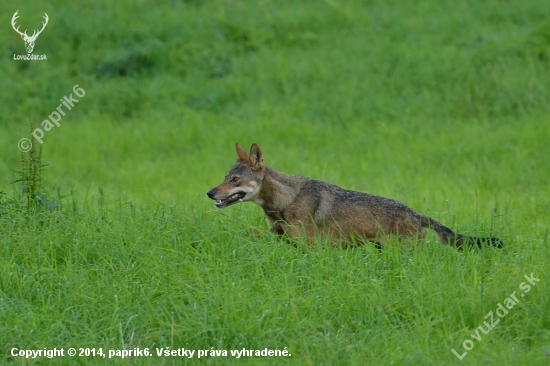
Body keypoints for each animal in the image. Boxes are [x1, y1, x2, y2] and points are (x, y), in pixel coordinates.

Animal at [207, 143, 504, 249]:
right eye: (225, 177)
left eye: (235, 180)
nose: (210, 193)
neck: (284, 199)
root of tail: (414, 212)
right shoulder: (281, 240)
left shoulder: (309, 248)